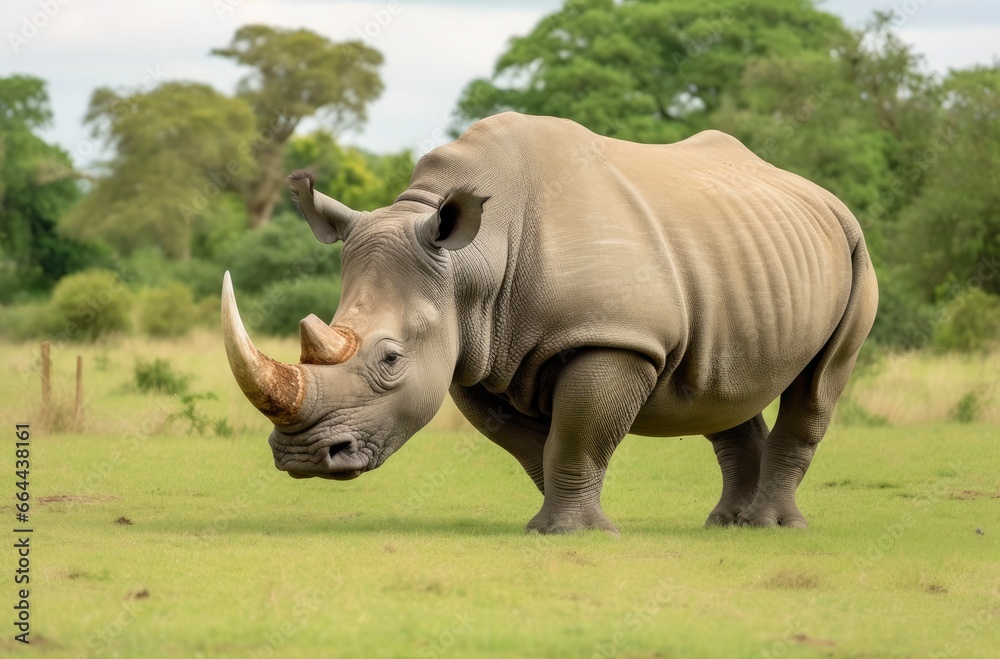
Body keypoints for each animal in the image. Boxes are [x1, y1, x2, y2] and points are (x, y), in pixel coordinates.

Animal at [221, 112, 878, 534]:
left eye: (391, 359)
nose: (303, 458)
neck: (474, 261)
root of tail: (823, 196)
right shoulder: (476, 353)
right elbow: (532, 444)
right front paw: (552, 522)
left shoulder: (614, 338)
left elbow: (577, 433)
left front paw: (571, 533)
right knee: (724, 386)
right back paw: (726, 524)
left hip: (855, 248)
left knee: (818, 385)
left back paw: (772, 527)